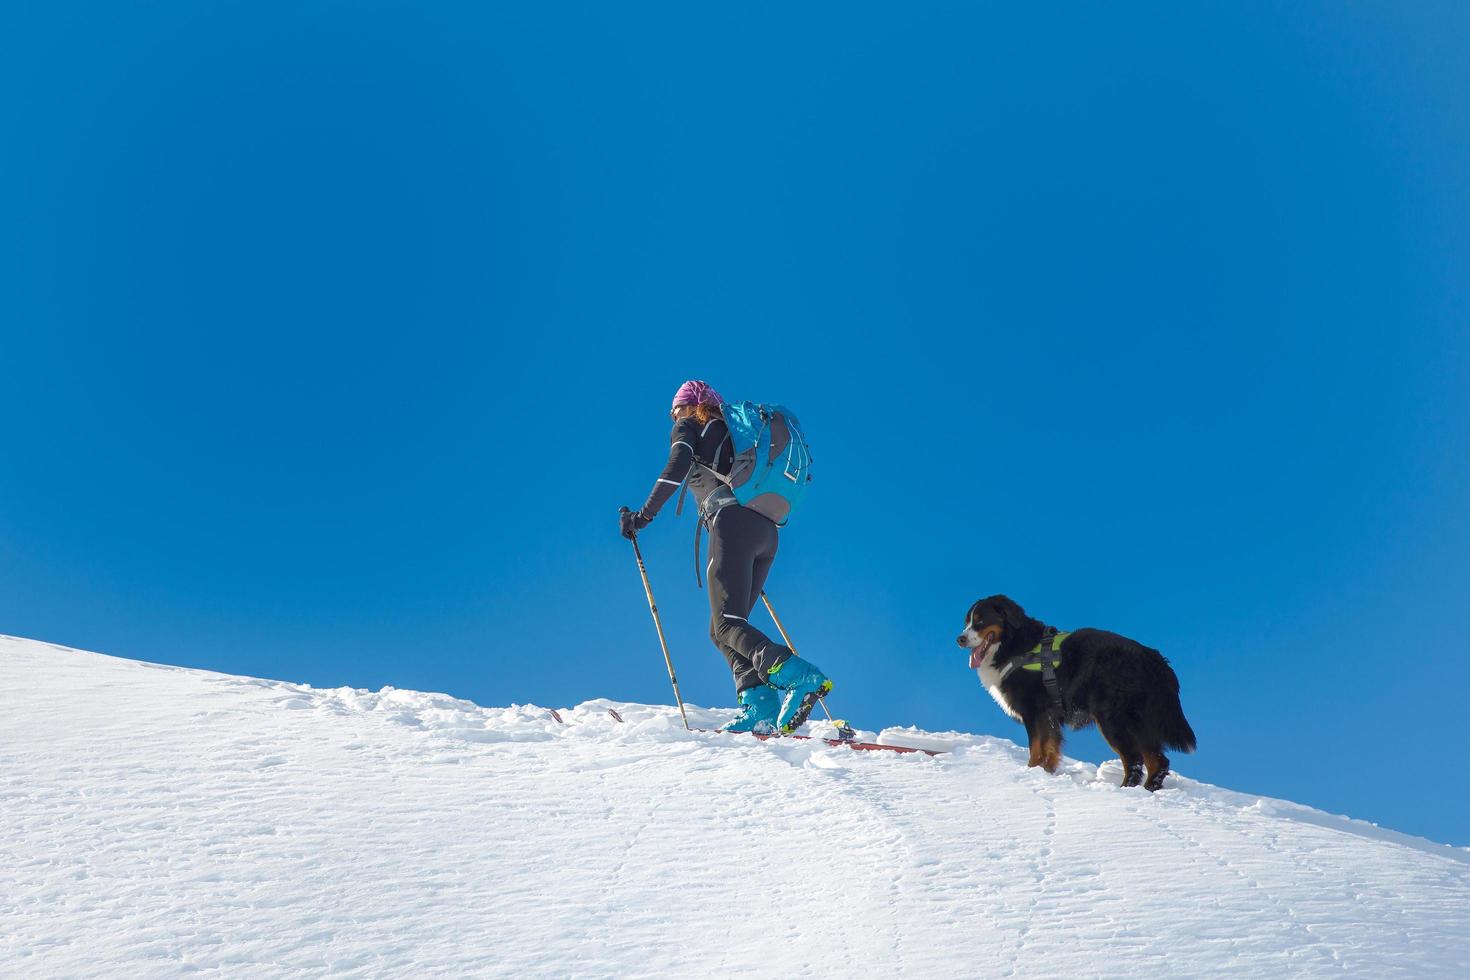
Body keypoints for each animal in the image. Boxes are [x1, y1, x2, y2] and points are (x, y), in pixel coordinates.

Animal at [964, 593, 1193, 793]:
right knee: (1158, 761)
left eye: (980, 621)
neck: (1015, 645)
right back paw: (1148, 790)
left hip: (1112, 719)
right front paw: (1046, 773)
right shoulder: (1048, 716)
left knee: (1134, 760)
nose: (960, 638)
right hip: (1139, 723)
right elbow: (1049, 749)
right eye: (967, 621)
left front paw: (1032, 772)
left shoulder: (1035, 711)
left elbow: (1036, 749)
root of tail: (1153, 658)